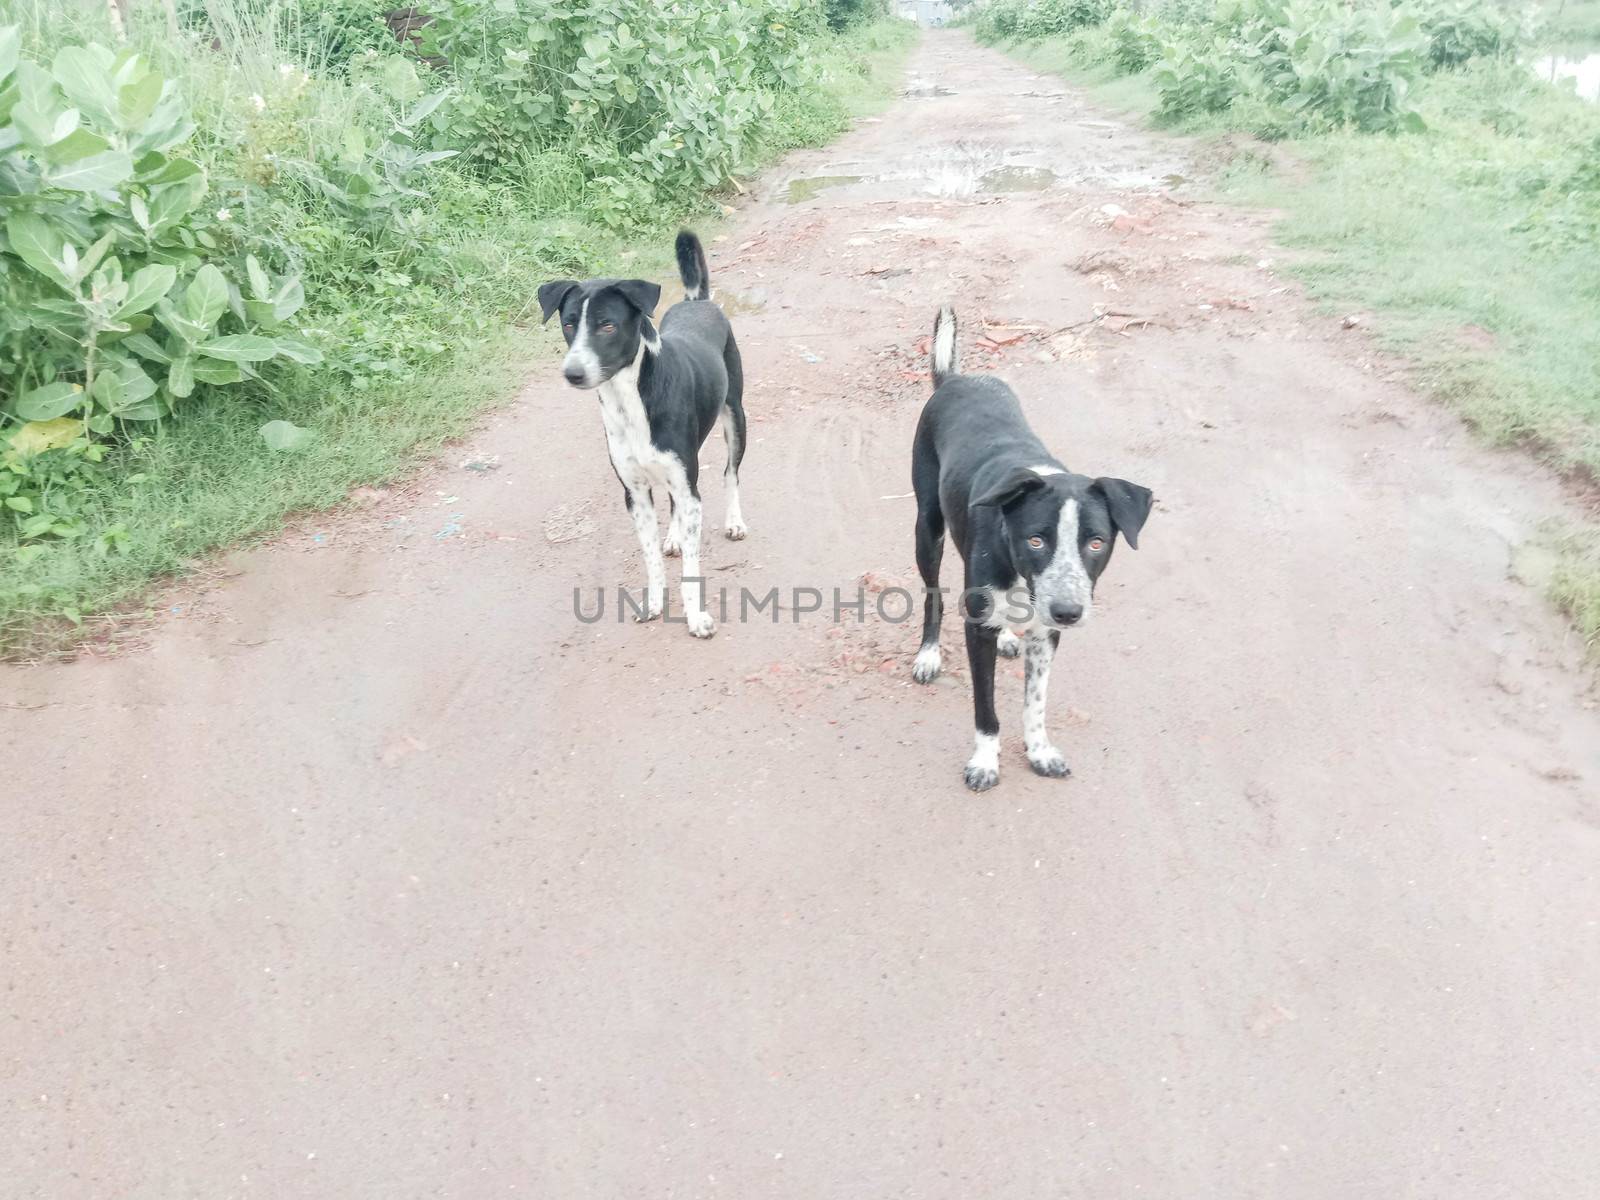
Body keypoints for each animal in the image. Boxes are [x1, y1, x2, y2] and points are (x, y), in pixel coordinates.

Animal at [540, 227, 745, 640]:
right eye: (568, 324)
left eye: (607, 325)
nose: (572, 373)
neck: (628, 400)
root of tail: (697, 301)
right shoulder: (635, 494)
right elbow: (650, 556)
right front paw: (653, 603)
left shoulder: (688, 484)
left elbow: (692, 567)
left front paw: (696, 616)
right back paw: (674, 536)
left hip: (736, 417)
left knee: (730, 473)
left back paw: (734, 521)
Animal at [915, 305, 1152, 793]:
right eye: (1036, 539)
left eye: (1096, 542)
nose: (1068, 612)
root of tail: (954, 379)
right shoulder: (977, 629)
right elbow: (986, 709)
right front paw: (985, 761)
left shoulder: (1046, 634)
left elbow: (1035, 701)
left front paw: (1039, 751)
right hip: (927, 528)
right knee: (932, 596)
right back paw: (928, 654)